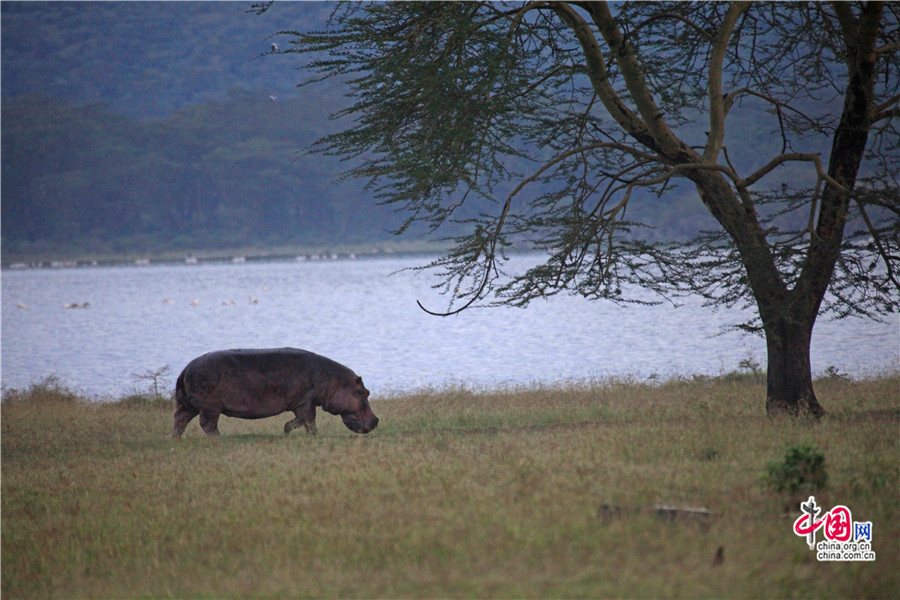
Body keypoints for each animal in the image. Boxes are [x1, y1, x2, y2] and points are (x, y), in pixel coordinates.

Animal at [171, 346, 376, 436]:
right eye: (365, 392)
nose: (377, 420)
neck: (334, 381)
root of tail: (185, 370)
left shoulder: (303, 402)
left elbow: (304, 421)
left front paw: (292, 433)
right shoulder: (306, 401)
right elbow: (307, 420)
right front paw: (304, 434)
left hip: (189, 405)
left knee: (180, 419)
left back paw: (176, 440)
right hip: (210, 406)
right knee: (207, 424)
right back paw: (219, 439)